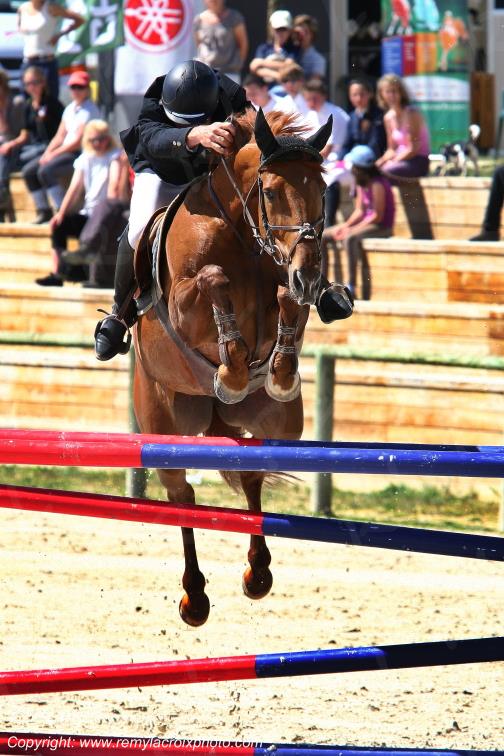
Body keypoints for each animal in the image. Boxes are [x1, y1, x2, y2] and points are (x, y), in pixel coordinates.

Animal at [133, 107, 332, 626]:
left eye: (323, 189)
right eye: (271, 192)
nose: (310, 275)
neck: (241, 231)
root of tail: (214, 414)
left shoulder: (285, 286)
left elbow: (284, 301)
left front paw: (278, 370)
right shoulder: (184, 304)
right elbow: (213, 279)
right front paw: (231, 370)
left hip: (279, 426)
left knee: (251, 474)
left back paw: (257, 574)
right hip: (163, 425)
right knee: (182, 497)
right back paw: (194, 597)